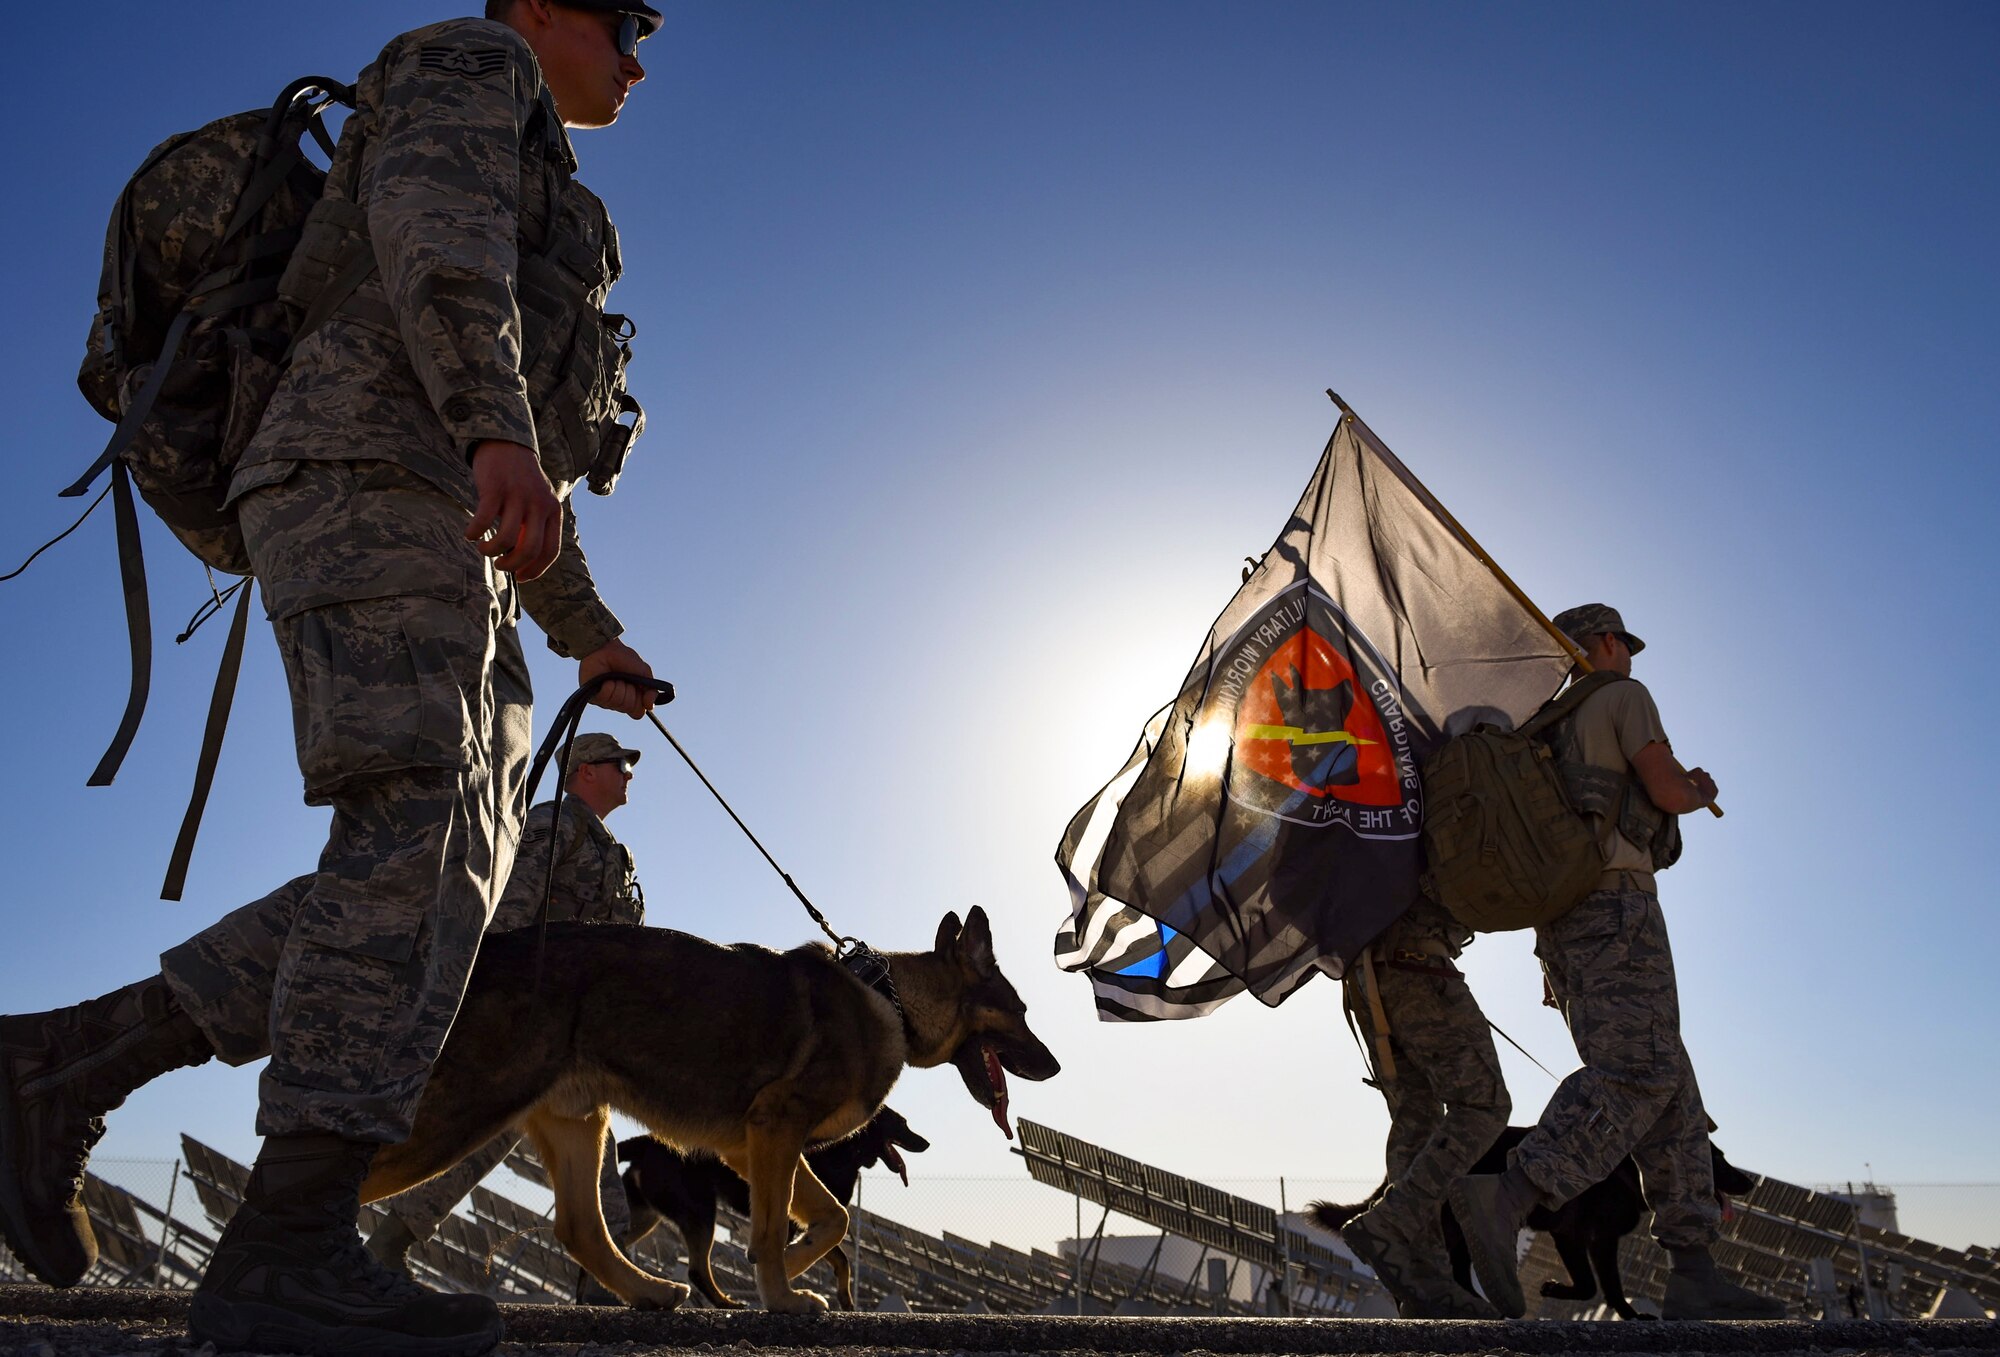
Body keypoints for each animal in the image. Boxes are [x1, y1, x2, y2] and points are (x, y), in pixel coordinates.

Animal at [616, 1112, 928, 1312]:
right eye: (903, 1123)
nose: (926, 1143)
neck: (845, 1152)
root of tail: (643, 1141)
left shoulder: (810, 1224)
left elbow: (840, 1259)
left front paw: (846, 1300)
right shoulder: (798, 1224)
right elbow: (825, 1255)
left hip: (649, 1215)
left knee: (617, 1241)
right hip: (700, 1211)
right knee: (697, 1269)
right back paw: (726, 1303)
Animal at [1312, 1128, 1752, 1320]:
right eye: (1719, 1159)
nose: (1748, 1183)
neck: (1627, 1172)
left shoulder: (1594, 1240)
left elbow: (1604, 1286)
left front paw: (1624, 1314)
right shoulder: (1576, 1236)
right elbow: (1596, 1285)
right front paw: (1556, 1289)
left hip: (1459, 1228)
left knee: (1453, 1263)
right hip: (1447, 1220)